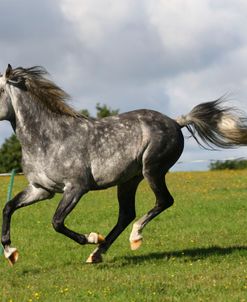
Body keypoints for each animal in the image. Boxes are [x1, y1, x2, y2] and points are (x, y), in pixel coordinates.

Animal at [0, 64, 247, 264]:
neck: (49, 138)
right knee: (127, 213)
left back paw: (133, 236)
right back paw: (97, 254)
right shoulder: (41, 189)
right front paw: (11, 252)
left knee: (163, 201)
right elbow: (9, 207)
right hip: (129, 180)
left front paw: (91, 237)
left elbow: (57, 222)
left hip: (152, 170)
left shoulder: (76, 188)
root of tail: (176, 121)